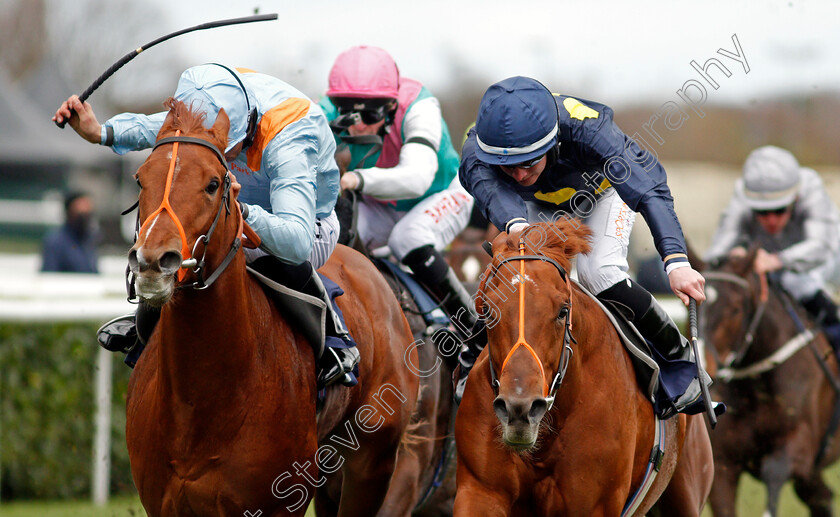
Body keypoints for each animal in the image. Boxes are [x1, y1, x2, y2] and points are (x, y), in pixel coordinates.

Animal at [125, 99, 424, 512]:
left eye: (213, 184)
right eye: (141, 179)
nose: (154, 261)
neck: (200, 402)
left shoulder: (282, 499)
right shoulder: (163, 502)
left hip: (373, 459)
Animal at [456, 222, 712, 516]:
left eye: (562, 311)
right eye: (488, 311)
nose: (518, 409)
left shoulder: (593, 505)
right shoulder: (480, 491)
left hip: (686, 495)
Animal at [704, 249, 840, 512]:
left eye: (735, 309)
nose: (705, 366)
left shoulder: (795, 450)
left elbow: (774, 474)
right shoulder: (724, 465)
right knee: (823, 497)